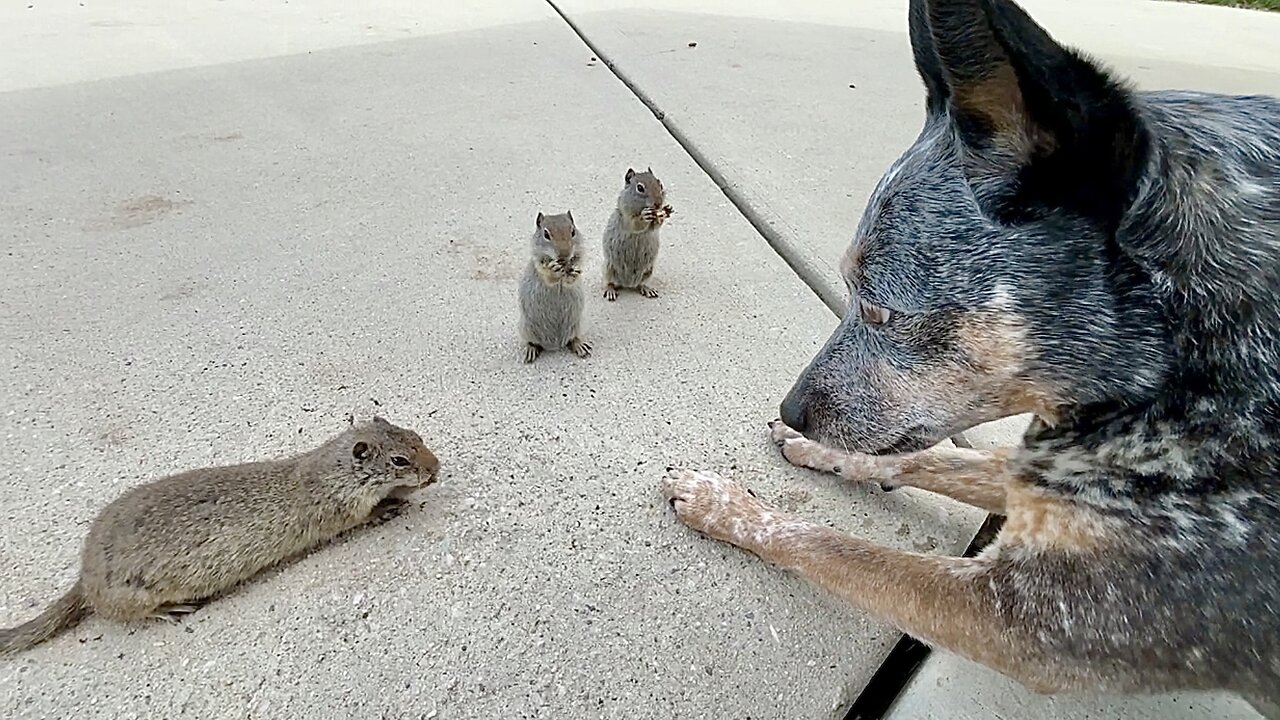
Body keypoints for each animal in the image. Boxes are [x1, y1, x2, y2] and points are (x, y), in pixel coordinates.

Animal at [0, 412, 440, 653]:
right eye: (399, 460)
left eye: (418, 437)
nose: (436, 468)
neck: (333, 471)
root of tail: (84, 580)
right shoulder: (339, 511)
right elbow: (361, 517)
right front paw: (391, 505)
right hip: (133, 597)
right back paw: (168, 610)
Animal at [517, 210, 591, 361]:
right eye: (546, 234)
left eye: (573, 231)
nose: (564, 255)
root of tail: (554, 345)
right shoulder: (539, 265)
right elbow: (547, 276)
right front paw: (553, 270)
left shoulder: (579, 257)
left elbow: (573, 277)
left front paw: (573, 273)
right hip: (525, 328)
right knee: (532, 342)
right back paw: (530, 350)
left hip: (579, 324)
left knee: (573, 338)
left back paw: (580, 345)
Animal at [604, 166, 675, 299]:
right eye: (640, 188)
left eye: (660, 184)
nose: (658, 203)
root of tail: (628, 284)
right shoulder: (626, 216)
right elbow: (635, 224)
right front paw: (644, 216)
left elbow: (655, 227)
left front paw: (664, 213)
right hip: (609, 268)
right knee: (609, 282)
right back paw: (610, 290)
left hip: (648, 271)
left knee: (642, 283)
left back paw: (647, 289)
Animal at [665, 0, 1274, 707]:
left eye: (881, 307)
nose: (792, 411)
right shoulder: (1037, 480)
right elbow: (933, 459)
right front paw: (822, 454)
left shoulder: (1029, 622)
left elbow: (836, 547)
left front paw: (726, 505)